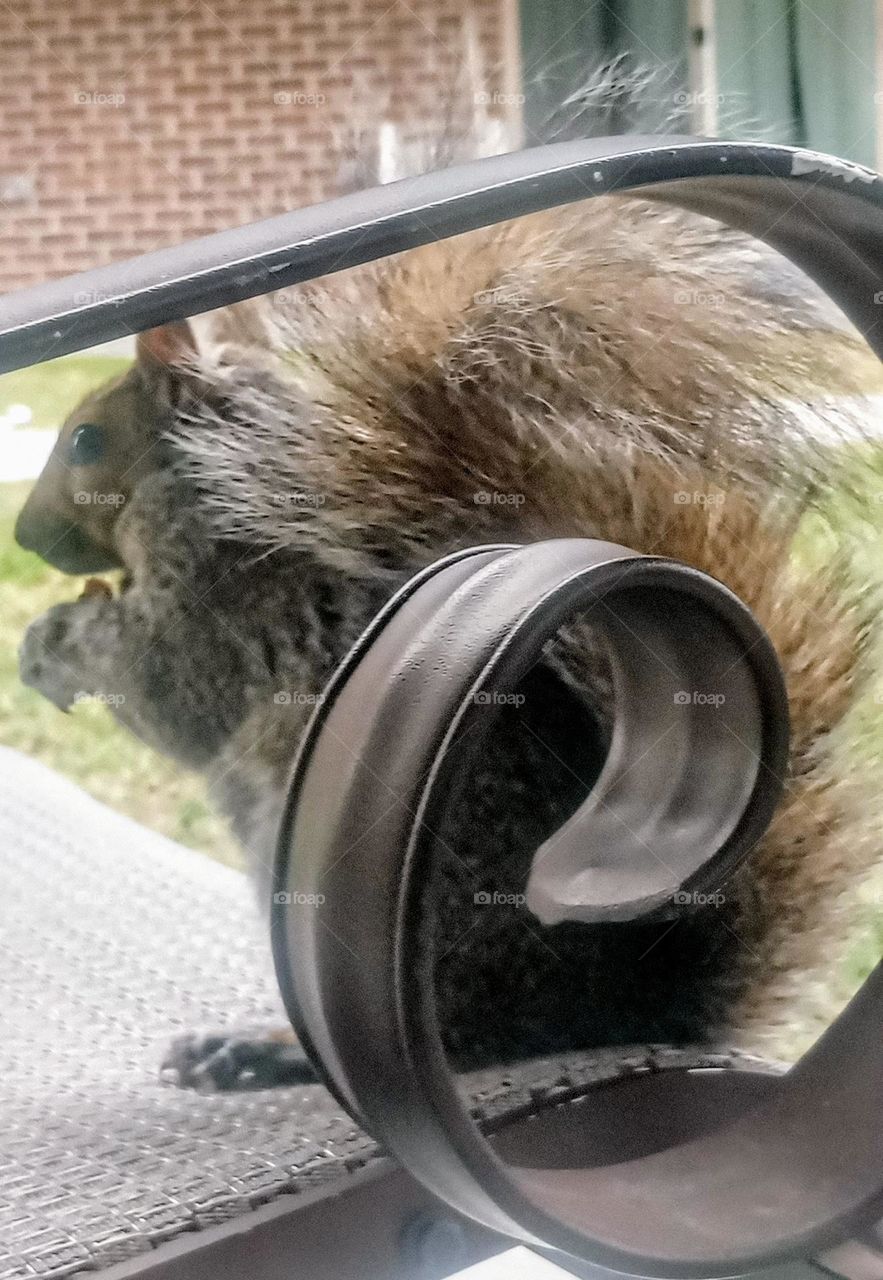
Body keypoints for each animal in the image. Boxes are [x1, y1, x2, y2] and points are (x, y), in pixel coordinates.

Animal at [15, 182, 883, 1089]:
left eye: (85, 439)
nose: (23, 537)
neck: (199, 473)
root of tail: (619, 1014)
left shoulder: (226, 597)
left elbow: (170, 688)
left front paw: (54, 643)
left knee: (470, 1041)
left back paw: (268, 1048)